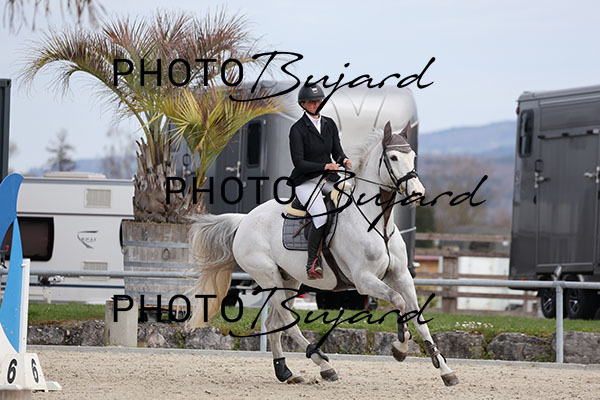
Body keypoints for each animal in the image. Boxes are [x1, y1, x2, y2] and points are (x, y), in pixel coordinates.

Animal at [186, 121, 459, 386]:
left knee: (275, 323)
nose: (417, 193)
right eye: (392, 157)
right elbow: (398, 301)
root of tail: (244, 220)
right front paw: (400, 347)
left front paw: (445, 370)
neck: (378, 224)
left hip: (290, 280)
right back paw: (324, 365)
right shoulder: (364, 280)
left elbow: (418, 319)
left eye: (412, 156)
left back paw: (286, 372)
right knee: (287, 322)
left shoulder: (401, 275)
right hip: (268, 278)